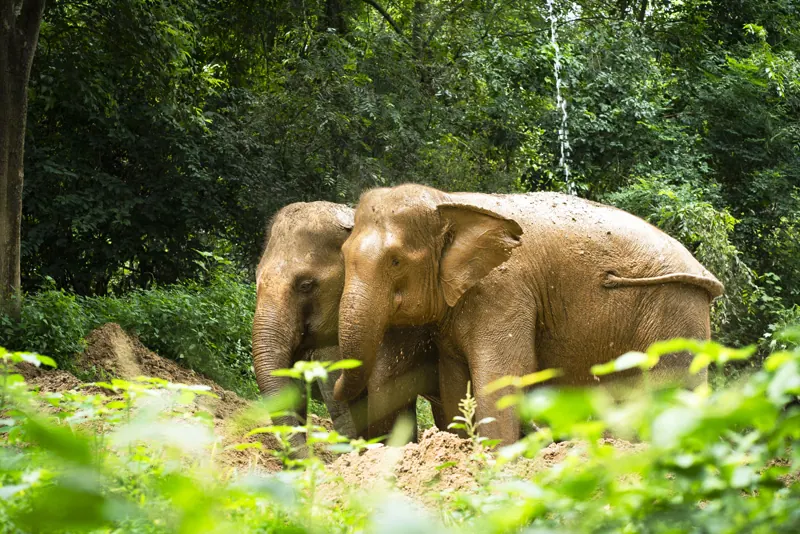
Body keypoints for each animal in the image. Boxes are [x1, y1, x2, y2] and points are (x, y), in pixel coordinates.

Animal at [333, 184, 724, 446]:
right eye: (343, 254)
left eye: (396, 261)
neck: (448, 199)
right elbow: (454, 378)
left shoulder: (504, 293)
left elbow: (503, 372)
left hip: (677, 309)